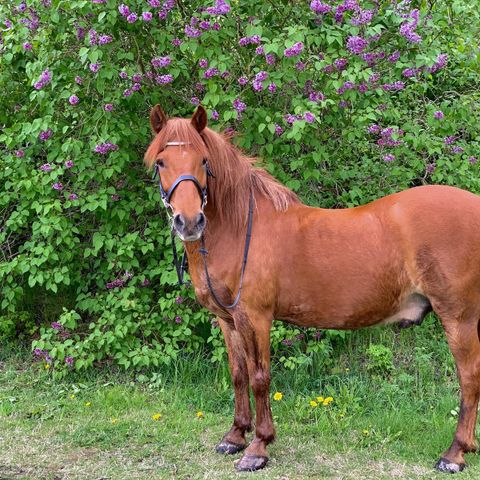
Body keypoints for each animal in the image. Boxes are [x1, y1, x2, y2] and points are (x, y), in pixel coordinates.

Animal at [144, 104, 480, 472]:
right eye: (161, 162)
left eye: (204, 161)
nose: (189, 221)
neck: (241, 227)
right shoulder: (228, 319)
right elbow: (238, 374)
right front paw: (234, 436)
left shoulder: (255, 317)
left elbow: (259, 377)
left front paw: (258, 447)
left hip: (458, 318)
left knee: (469, 377)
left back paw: (454, 454)